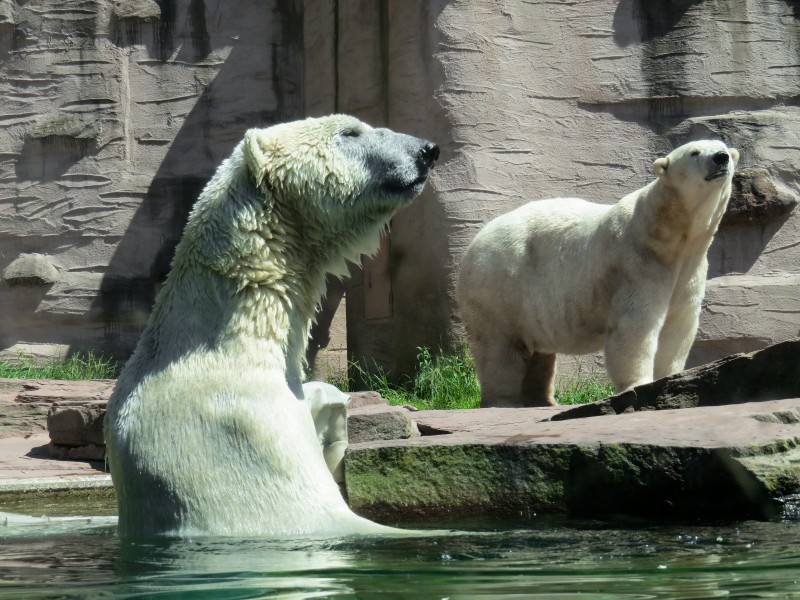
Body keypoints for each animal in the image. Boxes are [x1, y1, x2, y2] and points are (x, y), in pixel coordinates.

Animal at [456, 139, 736, 408]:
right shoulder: (636, 265)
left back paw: (542, 400)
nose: (721, 158)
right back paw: (504, 400)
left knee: (538, 352)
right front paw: (639, 384)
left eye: (723, 147)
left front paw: (671, 379)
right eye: (694, 152)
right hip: (499, 286)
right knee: (499, 348)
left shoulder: (689, 269)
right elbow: (635, 327)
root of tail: (476, 241)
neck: (667, 235)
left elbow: (678, 327)